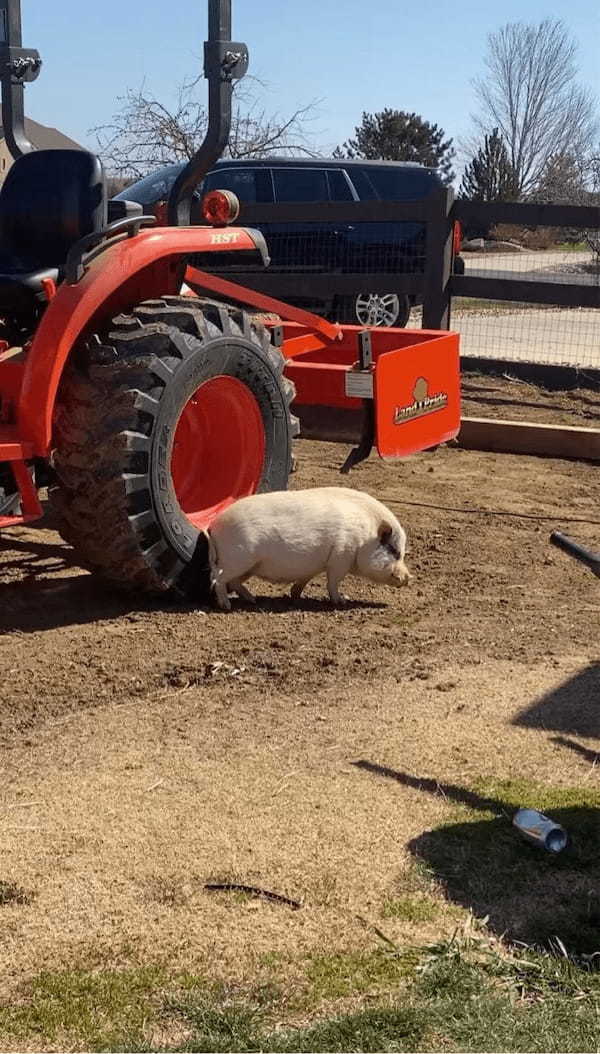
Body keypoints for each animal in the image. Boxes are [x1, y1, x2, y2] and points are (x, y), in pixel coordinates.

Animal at [206, 482, 411, 611]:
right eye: (394, 551)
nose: (409, 577)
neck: (364, 538)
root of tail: (213, 526)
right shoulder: (340, 558)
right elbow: (333, 582)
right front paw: (341, 601)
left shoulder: (315, 566)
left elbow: (304, 580)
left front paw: (296, 597)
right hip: (238, 558)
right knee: (219, 579)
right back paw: (226, 606)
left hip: (249, 566)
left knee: (233, 582)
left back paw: (253, 600)